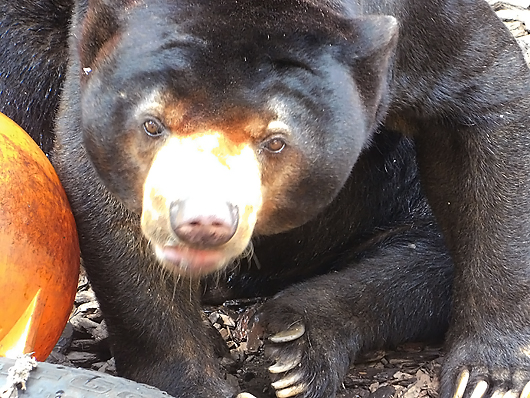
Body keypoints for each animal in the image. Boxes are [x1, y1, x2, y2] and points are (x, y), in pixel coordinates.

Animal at [1, 0, 528, 398]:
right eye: (153, 125)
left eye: (275, 141)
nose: (203, 221)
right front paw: (194, 382)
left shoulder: (427, 28)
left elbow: (486, 104)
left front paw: (488, 377)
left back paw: (296, 343)